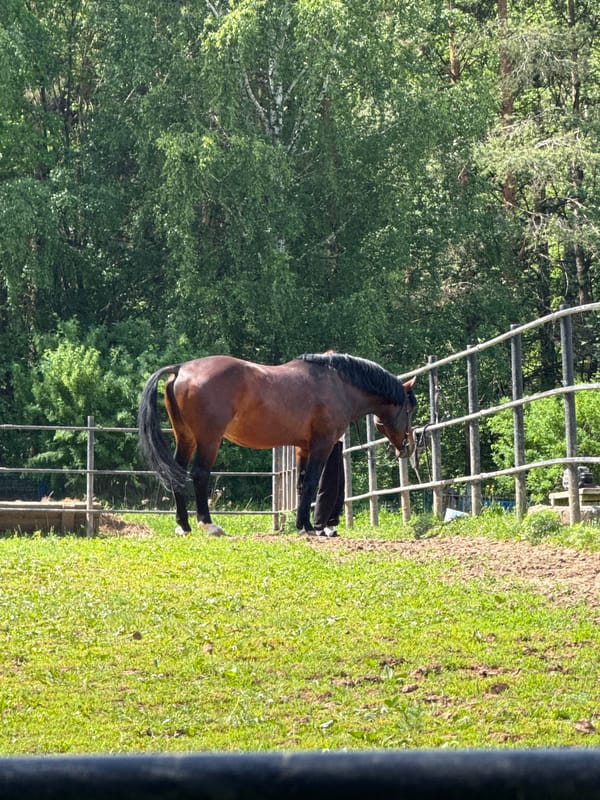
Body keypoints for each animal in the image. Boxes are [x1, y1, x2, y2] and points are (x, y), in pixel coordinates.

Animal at [138, 352, 417, 536]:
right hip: (208, 439)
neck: (338, 384)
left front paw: (301, 525)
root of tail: (182, 368)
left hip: (185, 438)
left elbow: (302, 484)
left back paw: (183, 525)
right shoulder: (323, 444)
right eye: (410, 409)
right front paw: (309, 527)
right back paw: (208, 524)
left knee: (178, 474)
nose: (408, 447)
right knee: (199, 474)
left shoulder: (303, 447)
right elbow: (312, 482)